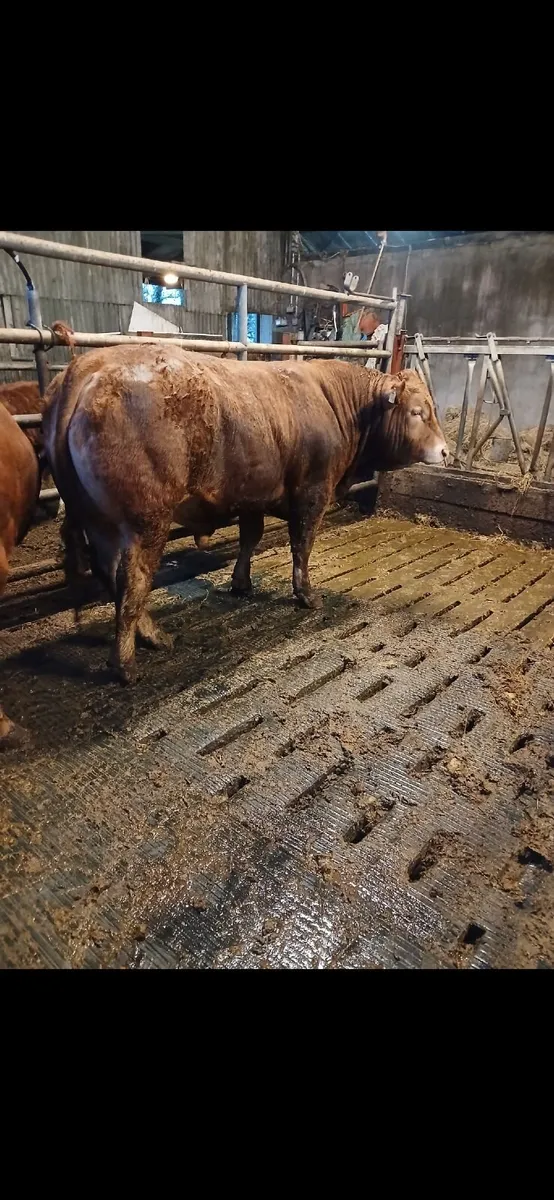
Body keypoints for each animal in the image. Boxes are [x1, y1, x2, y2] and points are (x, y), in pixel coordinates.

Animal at [42, 345, 449, 686]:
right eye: (417, 412)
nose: (445, 451)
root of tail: (89, 365)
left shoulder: (253, 495)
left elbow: (250, 538)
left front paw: (241, 583)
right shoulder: (313, 492)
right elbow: (302, 545)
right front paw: (306, 595)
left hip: (98, 519)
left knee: (110, 572)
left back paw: (150, 635)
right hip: (146, 522)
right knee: (133, 580)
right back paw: (128, 661)